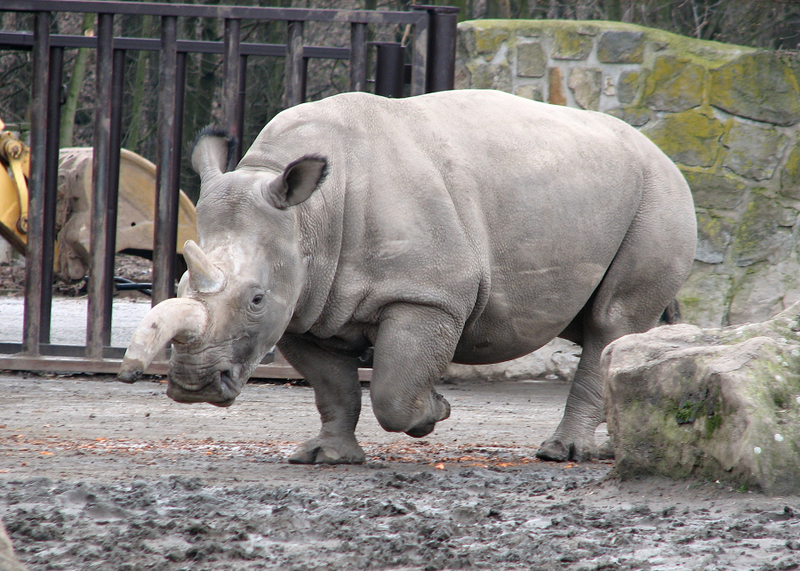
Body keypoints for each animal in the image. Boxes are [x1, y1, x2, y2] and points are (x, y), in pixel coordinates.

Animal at [117, 90, 692, 464]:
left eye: (256, 299)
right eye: (178, 289)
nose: (193, 386)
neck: (307, 217)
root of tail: (664, 155)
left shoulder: (429, 295)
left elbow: (393, 389)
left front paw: (432, 412)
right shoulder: (304, 304)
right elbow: (332, 387)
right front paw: (326, 457)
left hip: (658, 194)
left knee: (610, 321)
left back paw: (563, 454)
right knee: (604, 323)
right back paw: (613, 444)